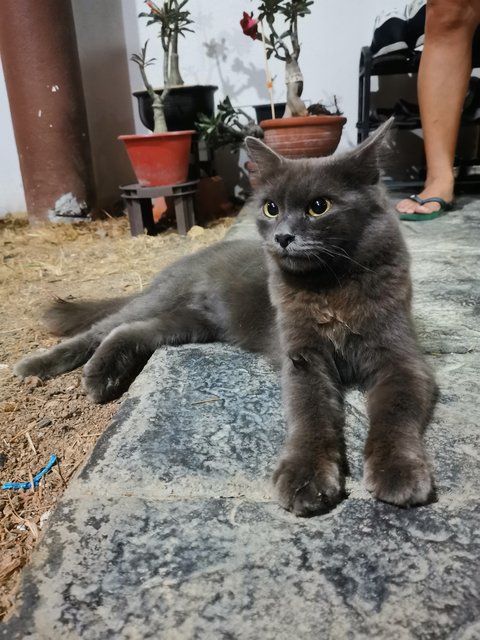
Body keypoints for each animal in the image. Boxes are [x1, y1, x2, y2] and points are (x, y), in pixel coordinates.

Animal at [15, 122, 436, 516]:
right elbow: (311, 413)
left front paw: (398, 472)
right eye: (270, 208)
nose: (283, 236)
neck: (329, 286)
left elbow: (396, 414)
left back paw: (105, 378)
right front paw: (306, 477)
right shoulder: (302, 357)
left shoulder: (400, 359)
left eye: (319, 206)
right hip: (163, 300)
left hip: (190, 322)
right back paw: (41, 368)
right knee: (101, 328)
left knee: (128, 329)